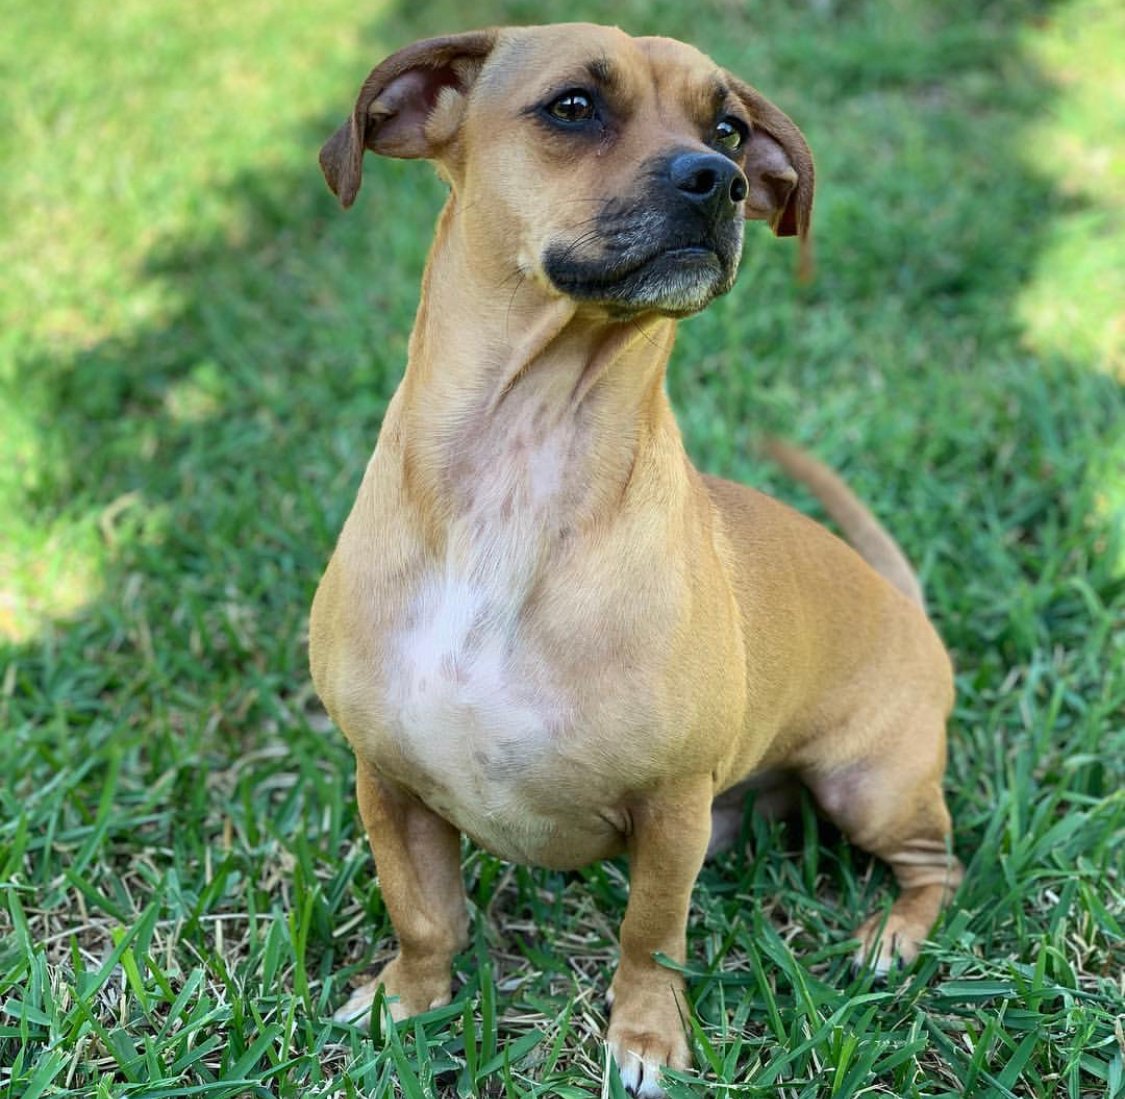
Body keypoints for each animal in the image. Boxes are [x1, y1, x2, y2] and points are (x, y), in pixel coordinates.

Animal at [312, 21, 963, 1093]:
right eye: (574, 106)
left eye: (730, 128)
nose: (718, 180)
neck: (521, 464)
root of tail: (902, 602)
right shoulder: (388, 782)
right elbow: (425, 913)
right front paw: (407, 999)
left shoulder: (669, 810)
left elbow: (648, 935)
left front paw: (648, 1038)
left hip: (868, 786)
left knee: (938, 864)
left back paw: (890, 937)